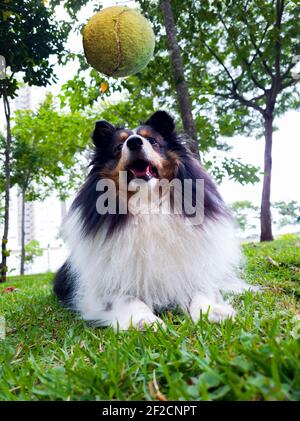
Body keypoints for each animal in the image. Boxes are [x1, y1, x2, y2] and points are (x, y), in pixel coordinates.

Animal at [52, 110, 250, 330]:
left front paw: (212, 313)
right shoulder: (103, 290)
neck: (147, 203)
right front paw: (144, 321)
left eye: (152, 141)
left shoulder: (195, 269)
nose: (134, 142)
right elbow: (127, 299)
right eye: (118, 147)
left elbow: (202, 289)